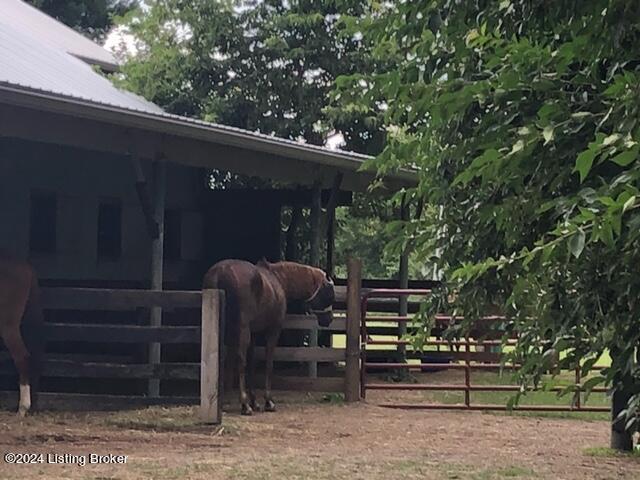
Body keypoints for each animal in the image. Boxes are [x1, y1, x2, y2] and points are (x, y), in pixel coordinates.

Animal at [203, 259, 335, 415]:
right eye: (329, 294)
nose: (329, 319)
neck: (278, 280)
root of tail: (219, 273)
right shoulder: (273, 331)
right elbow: (268, 364)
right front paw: (268, 401)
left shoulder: (253, 335)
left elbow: (252, 364)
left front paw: (254, 401)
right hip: (242, 330)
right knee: (240, 362)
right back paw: (244, 405)